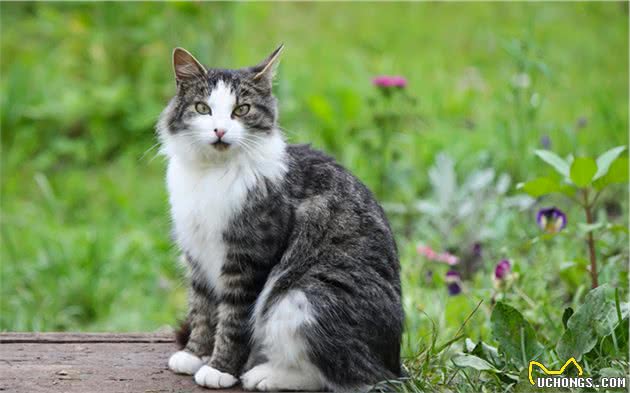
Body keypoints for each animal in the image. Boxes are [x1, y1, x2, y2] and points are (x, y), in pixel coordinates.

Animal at [158, 44, 404, 390]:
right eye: (202, 108)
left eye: (242, 110)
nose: (219, 130)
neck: (212, 175)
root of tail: (394, 362)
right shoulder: (197, 256)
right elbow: (202, 310)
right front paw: (195, 353)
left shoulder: (248, 259)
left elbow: (233, 321)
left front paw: (220, 368)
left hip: (303, 296)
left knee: (344, 376)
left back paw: (264, 375)